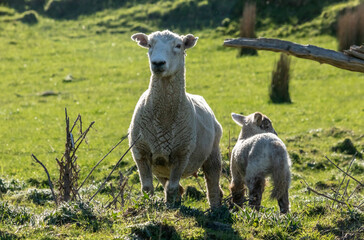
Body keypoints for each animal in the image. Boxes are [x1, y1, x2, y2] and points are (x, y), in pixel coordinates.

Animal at [128, 30, 225, 207]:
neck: (164, 119)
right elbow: (147, 188)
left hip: (213, 153)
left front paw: (171, 208)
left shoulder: (182, 154)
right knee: (172, 185)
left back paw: (215, 208)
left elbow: (172, 188)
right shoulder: (140, 152)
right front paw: (148, 207)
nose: (158, 63)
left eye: (179, 46)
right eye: (149, 44)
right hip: (160, 168)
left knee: (212, 183)